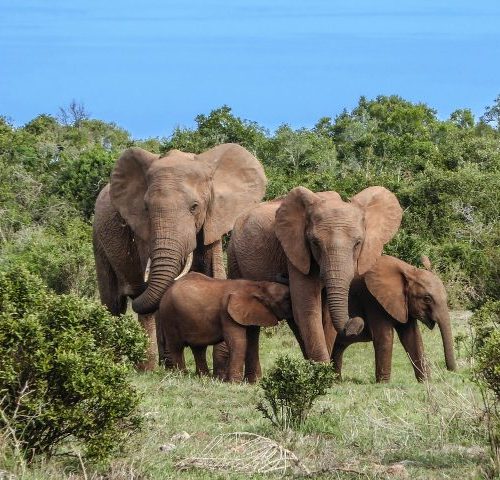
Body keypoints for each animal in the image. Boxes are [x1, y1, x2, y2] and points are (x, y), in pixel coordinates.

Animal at [92, 144, 266, 370]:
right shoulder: (143, 231)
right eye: (146, 208)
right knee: (113, 304)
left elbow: (216, 273)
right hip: (98, 238)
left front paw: (220, 368)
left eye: (195, 207)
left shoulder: (213, 220)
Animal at [157, 272, 292, 382]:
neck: (257, 286)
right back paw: (181, 376)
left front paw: (254, 382)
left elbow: (252, 342)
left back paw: (204, 378)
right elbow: (238, 342)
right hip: (169, 316)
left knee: (198, 348)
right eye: (286, 298)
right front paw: (234, 383)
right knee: (176, 347)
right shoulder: (227, 313)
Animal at [227, 186, 402, 365]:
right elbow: (307, 308)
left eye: (358, 243)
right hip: (233, 256)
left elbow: (326, 316)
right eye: (315, 243)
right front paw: (322, 368)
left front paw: (322, 369)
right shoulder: (296, 251)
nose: (356, 322)